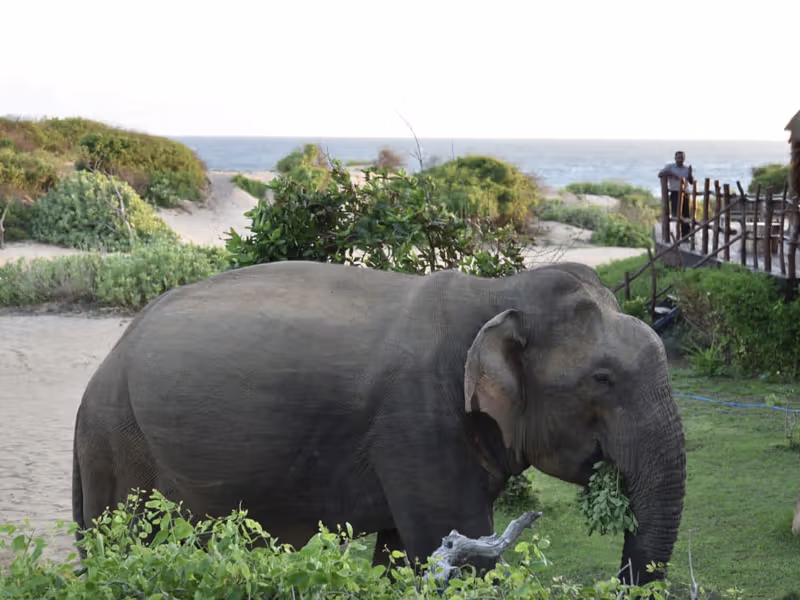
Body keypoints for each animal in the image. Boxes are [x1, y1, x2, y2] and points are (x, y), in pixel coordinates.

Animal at [71, 259, 686, 586]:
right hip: (119, 445)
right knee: (122, 541)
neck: (498, 291)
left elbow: (403, 555)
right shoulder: (419, 421)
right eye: (603, 379)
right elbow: (456, 546)